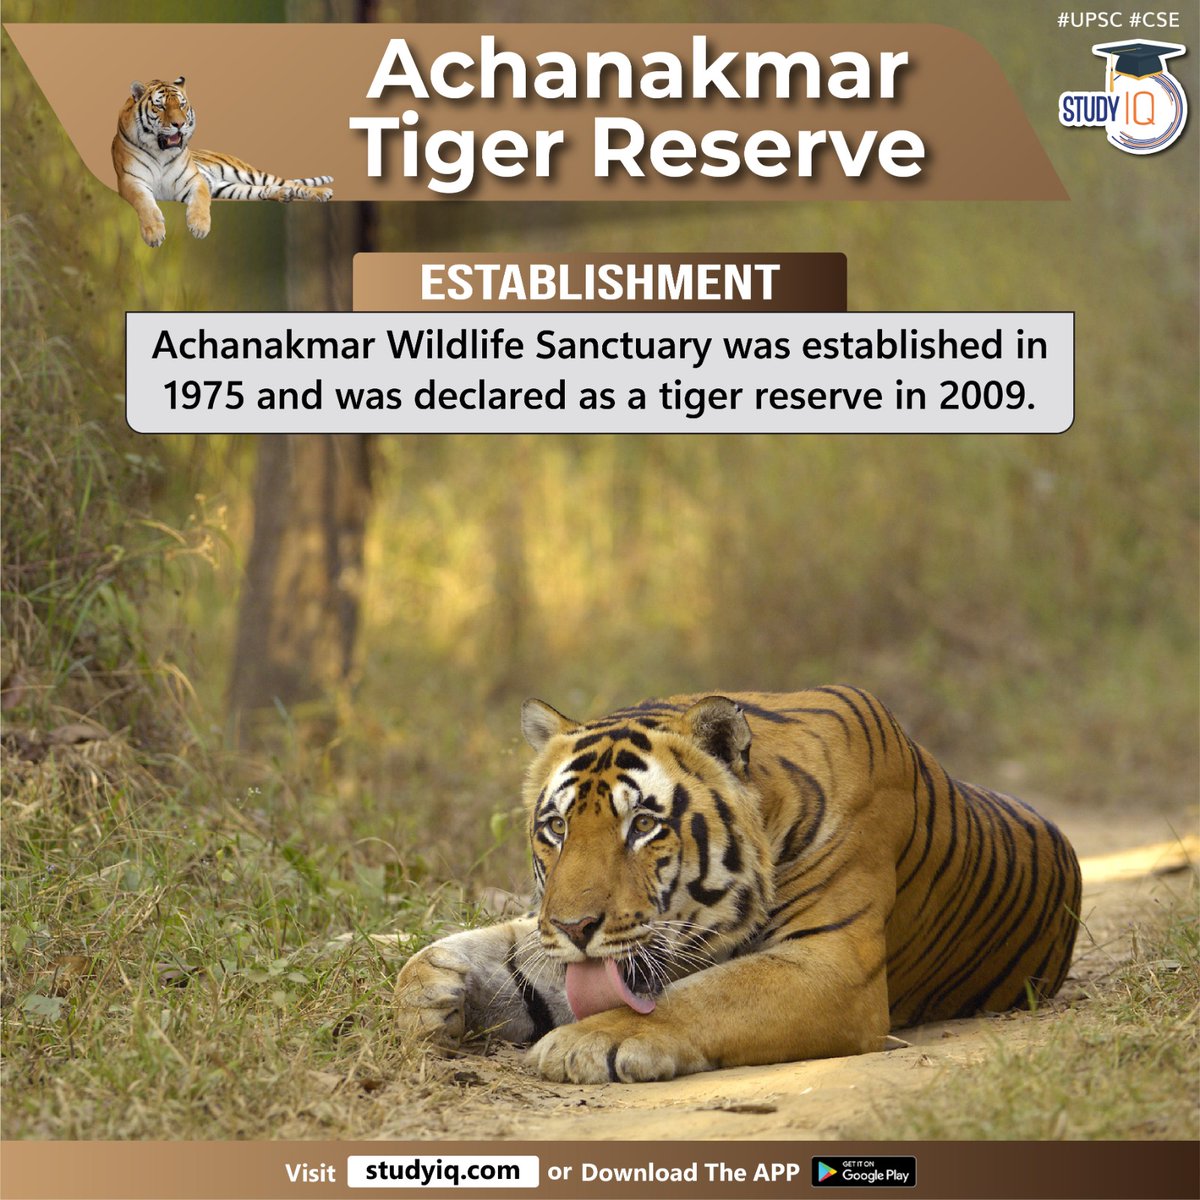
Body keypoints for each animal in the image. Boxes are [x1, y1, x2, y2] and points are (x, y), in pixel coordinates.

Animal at [112, 77, 333, 247]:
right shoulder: (131, 181)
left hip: (248, 173)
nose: (179, 124)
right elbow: (146, 204)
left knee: (290, 183)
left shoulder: (195, 180)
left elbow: (200, 201)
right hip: (228, 187)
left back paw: (321, 193)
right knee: (262, 190)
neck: (161, 153)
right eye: (160, 106)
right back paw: (282, 194)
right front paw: (155, 233)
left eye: (182, 104)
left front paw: (199, 226)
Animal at [394, 688, 1082, 1083]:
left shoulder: (831, 965)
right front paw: (427, 993)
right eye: (557, 828)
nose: (574, 927)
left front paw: (587, 1042)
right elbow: (500, 953)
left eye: (643, 825)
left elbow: (703, 997)